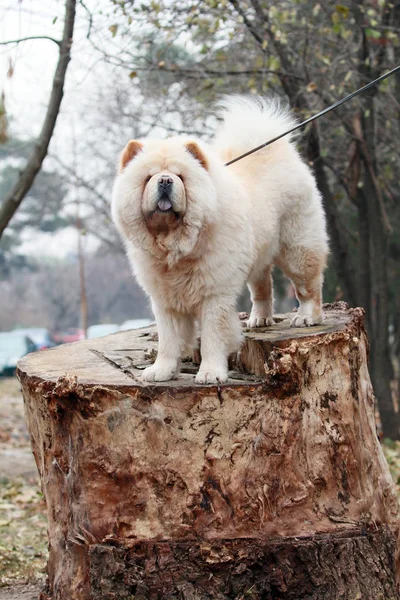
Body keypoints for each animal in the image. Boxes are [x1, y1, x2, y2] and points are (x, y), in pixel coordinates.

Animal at [111, 96, 328, 382]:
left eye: (180, 177)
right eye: (148, 178)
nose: (165, 181)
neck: (175, 245)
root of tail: (276, 149)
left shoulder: (214, 293)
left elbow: (213, 336)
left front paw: (211, 374)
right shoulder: (165, 298)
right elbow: (169, 339)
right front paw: (162, 371)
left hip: (297, 246)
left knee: (307, 285)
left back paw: (306, 317)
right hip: (257, 256)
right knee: (263, 287)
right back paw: (260, 319)